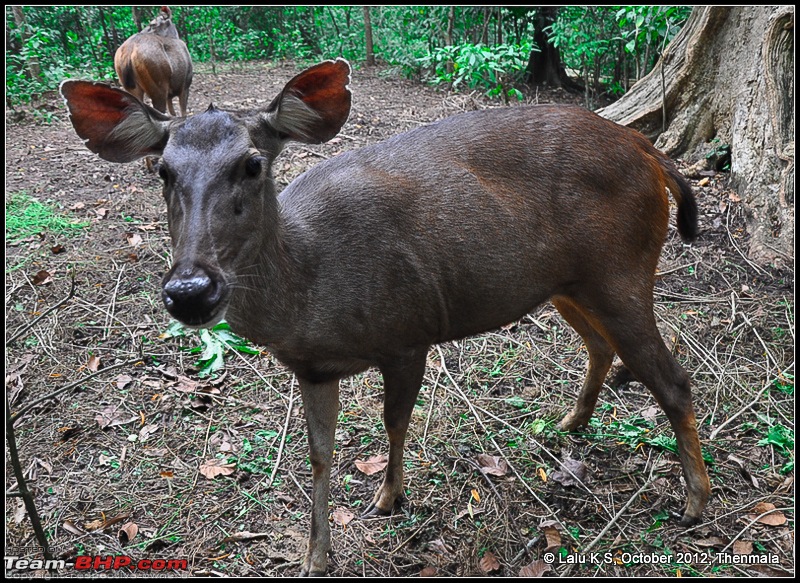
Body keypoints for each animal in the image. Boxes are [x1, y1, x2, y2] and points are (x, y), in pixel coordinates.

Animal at [64, 58, 712, 576]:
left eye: (251, 164)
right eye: (162, 171)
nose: (191, 290)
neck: (311, 292)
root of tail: (652, 152)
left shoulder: (408, 331)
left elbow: (394, 421)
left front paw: (388, 497)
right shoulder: (313, 368)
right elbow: (319, 455)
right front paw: (316, 556)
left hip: (621, 269)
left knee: (674, 379)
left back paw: (695, 501)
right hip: (568, 285)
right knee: (602, 347)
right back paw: (569, 422)